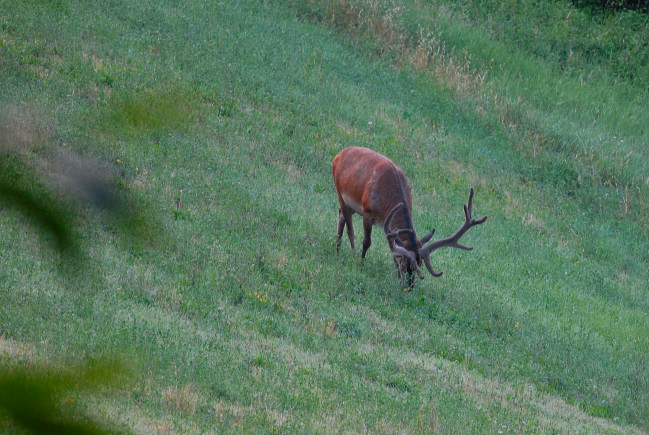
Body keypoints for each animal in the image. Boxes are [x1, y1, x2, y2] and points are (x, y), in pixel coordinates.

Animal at [336, 148, 484, 288]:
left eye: (420, 263)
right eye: (403, 264)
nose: (410, 286)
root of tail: (339, 154)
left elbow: (391, 248)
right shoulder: (367, 212)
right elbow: (367, 242)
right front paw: (361, 264)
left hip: (352, 206)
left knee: (341, 215)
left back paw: (337, 247)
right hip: (340, 192)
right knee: (349, 226)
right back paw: (350, 251)